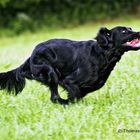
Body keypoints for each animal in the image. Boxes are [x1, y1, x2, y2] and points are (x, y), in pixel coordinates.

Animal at [0, 26, 140, 104]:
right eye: (124, 31)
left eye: (131, 28)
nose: (138, 32)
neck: (102, 53)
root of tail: (30, 57)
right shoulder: (69, 81)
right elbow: (75, 94)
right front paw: (73, 102)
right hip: (51, 73)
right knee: (54, 97)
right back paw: (64, 103)